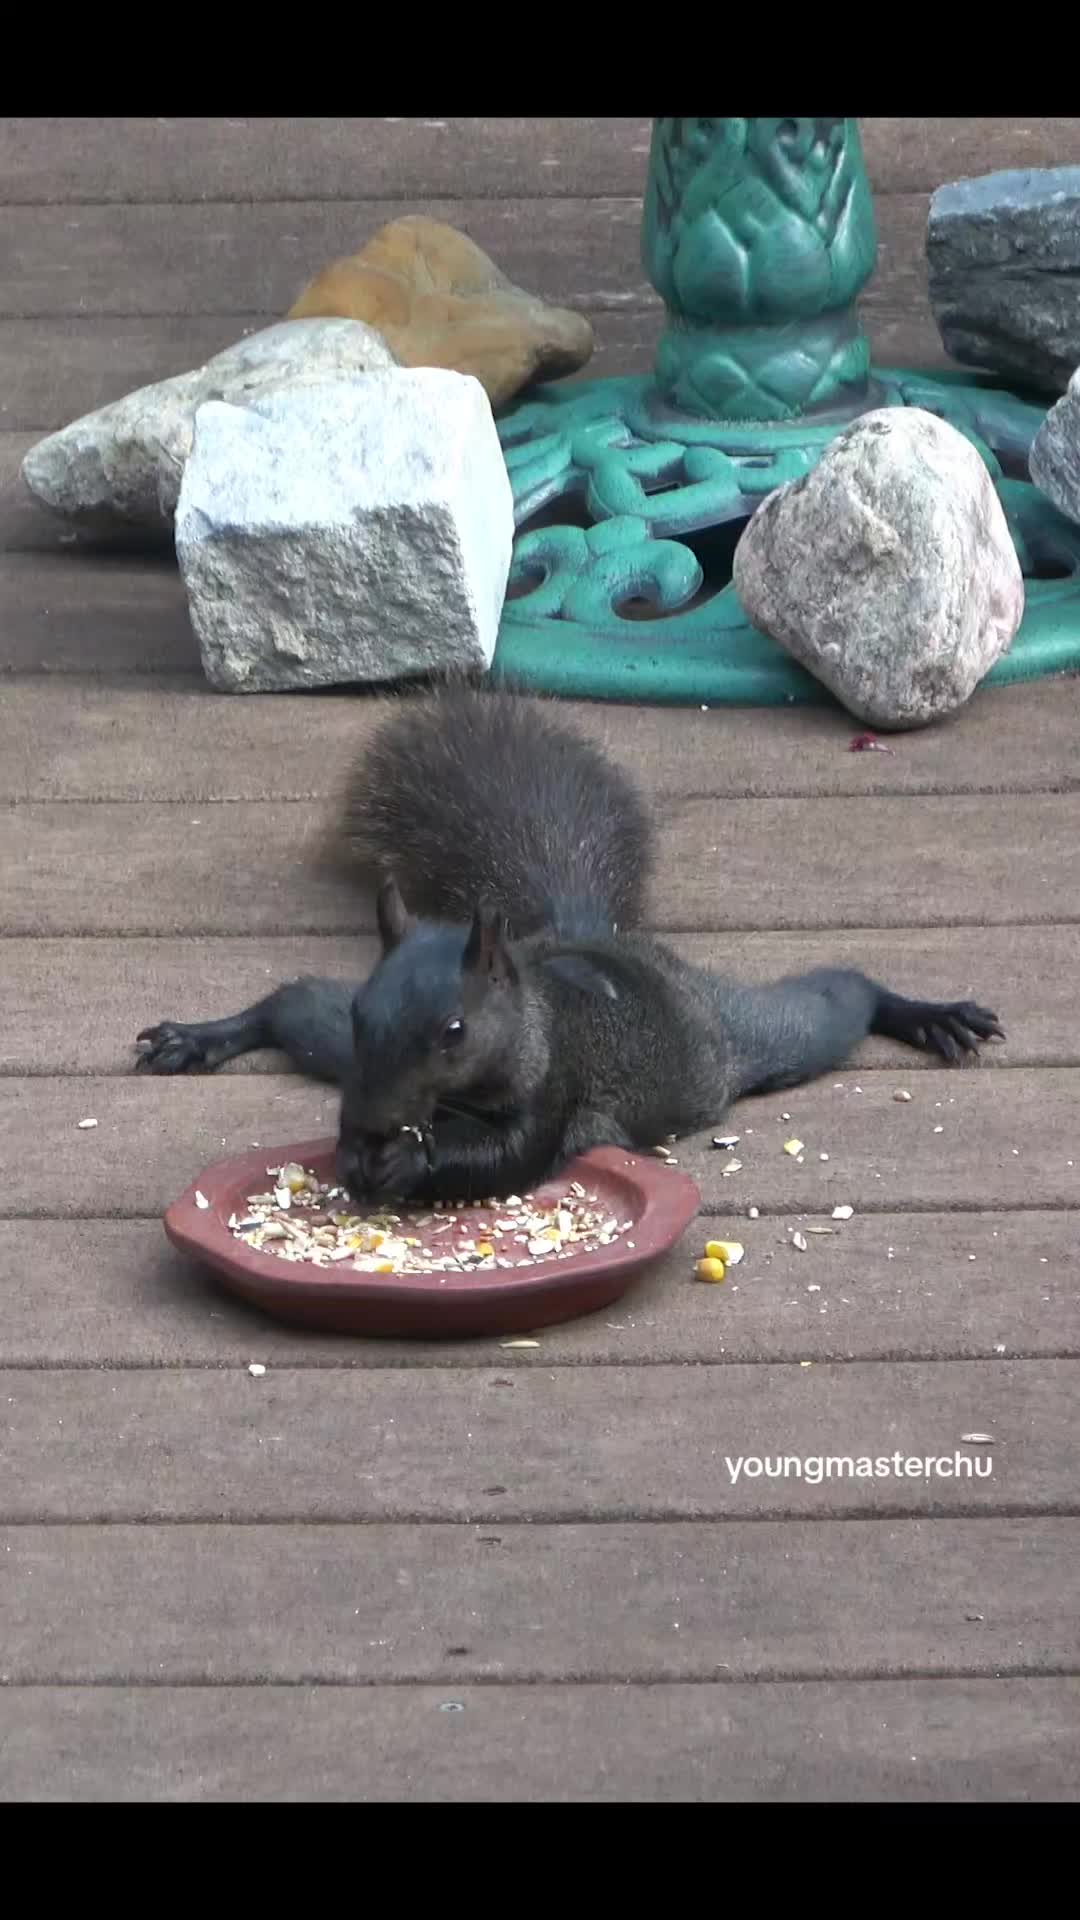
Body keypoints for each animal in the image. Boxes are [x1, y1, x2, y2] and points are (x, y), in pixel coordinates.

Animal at [136, 680, 1004, 1204]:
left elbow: (511, 1158)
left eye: (455, 1030)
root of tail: (592, 939)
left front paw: (409, 1160)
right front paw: (356, 1152)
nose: (378, 1121)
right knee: (292, 1006)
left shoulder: (558, 1091)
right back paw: (196, 1038)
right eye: (364, 1017)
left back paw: (927, 1014)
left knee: (837, 1000)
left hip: (737, 1039)